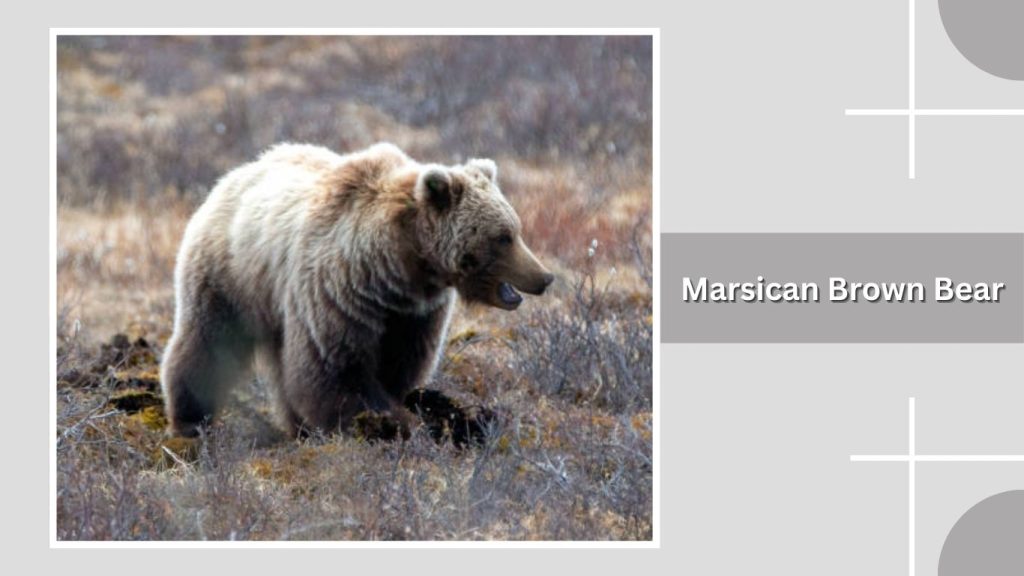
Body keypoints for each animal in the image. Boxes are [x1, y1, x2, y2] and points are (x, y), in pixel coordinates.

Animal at [160, 142, 554, 438]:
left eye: (515, 229)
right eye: (504, 237)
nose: (545, 277)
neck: (399, 269)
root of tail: (231, 176)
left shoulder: (412, 314)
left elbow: (400, 363)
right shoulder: (337, 292)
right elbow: (336, 369)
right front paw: (395, 422)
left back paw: (296, 426)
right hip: (229, 275)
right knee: (207, 343)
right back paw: (190, 420)